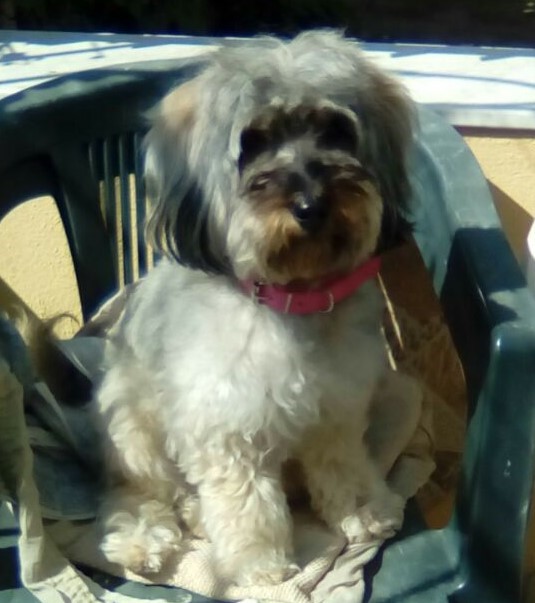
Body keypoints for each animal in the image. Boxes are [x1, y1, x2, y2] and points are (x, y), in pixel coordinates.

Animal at [95, 30, 419, 587]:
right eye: (254, 142)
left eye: (335, 131)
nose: (312, 204)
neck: (291, 301)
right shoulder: (228, 431)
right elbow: (247, 507)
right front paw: (260, 565)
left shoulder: (337, 409)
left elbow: (342, 464)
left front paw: (363, 509)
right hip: (134, 430)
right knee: (146, 496)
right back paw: (148, 537)